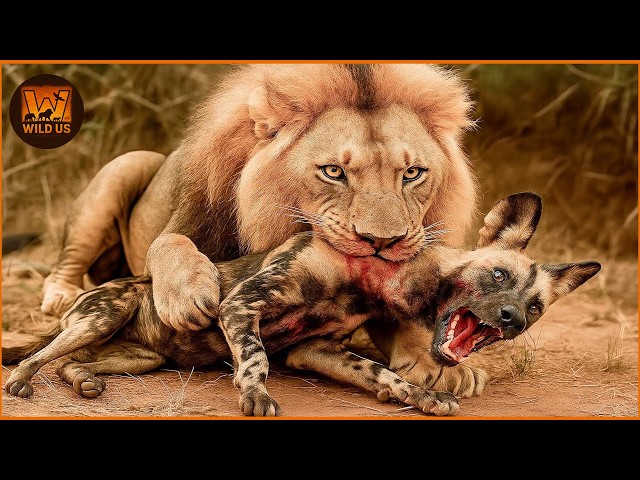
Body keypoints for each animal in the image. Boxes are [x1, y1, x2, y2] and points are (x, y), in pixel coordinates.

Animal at [40, 63, 484, 397]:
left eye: (412, 173)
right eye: (333, 172)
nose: (382, 242)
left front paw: (440, 367)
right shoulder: (187, 224)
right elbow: (167, 241)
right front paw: (188, 296)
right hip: (127, 164)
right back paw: (58, 297)